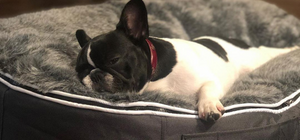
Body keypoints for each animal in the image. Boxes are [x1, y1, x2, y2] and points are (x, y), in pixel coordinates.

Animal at [75, 0, 298, 121]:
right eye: (80, 70)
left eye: (113, 60)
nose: (94, 75)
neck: (156, 75)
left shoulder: (209, 80)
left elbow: (206, 90)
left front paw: (208, 107)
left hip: (254, 59)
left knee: (268, 52)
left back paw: (292, 48)